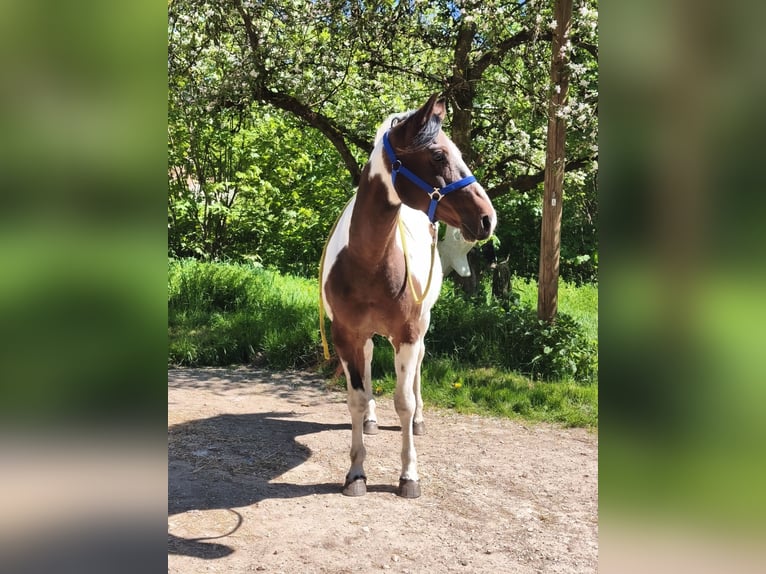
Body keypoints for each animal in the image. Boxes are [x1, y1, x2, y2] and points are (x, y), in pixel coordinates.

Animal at [320, 94, 496, 498]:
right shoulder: (345, 335)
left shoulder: (409, 334)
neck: (368, 262)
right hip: (367, 336)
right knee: (370, 361)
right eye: (438, 155)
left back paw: (418, 421)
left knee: (417, 371)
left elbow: (403, 401)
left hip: (421, 327)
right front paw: (356, 473)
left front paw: (409, 475)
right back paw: (371, 420)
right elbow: (355, 398)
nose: (487, 218)